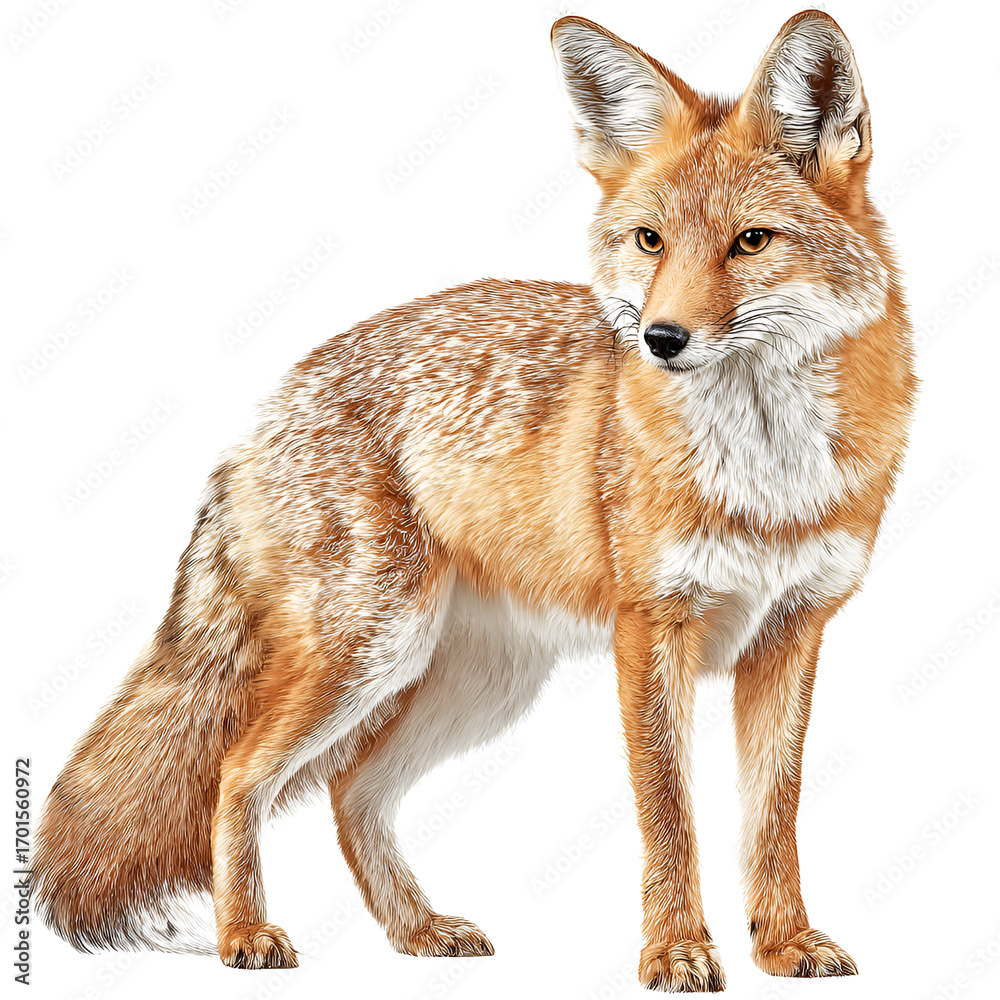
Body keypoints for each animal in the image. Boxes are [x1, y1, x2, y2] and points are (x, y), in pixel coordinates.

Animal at [32, 10, 915, 992]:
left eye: (751, 242)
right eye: (649, 242)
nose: (660, 339)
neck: (765, 481)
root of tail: (271, 407)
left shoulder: (792, 632)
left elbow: (773, 815)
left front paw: (783, 943)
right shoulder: (653, 629)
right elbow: (669, 816)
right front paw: (677, 950)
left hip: (471, 683)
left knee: (349, 791)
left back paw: (415, 929)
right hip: (370, 654)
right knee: (238, 773)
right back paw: (244, 934)